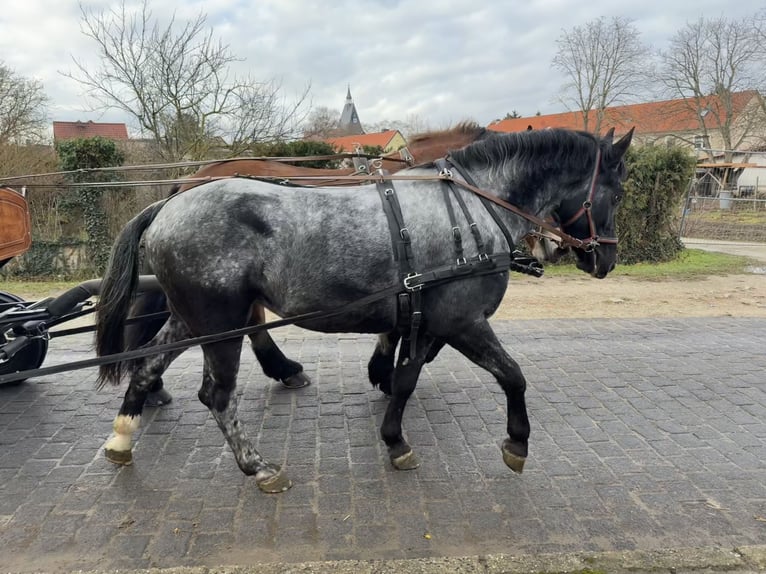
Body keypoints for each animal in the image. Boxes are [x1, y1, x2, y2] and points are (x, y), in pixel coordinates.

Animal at [94, 127, 636, 496]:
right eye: (617, 191)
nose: (605, 258)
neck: (467, 209)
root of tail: (168, 205)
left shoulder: (428, 320)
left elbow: (407, 376)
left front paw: (395, 438)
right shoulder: (462, 322)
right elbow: (513, 376)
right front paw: (517, 444)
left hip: (191, 320)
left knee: (146, 365)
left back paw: (123, 435)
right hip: (219, 324)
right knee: (217, 395)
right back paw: (258, 464)